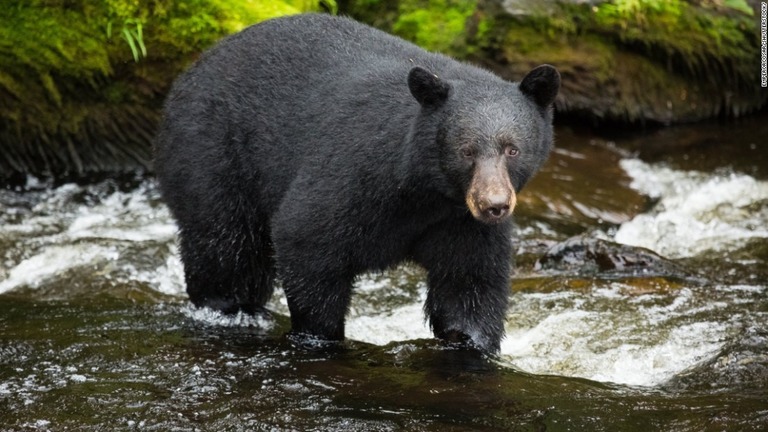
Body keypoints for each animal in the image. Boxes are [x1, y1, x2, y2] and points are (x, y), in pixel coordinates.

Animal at [156, 13, 560, 352]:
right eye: (466, 151)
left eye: (512, 149)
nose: (494, 205)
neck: (424, 191)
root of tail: (193, 68)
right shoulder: (353, 175)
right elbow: (306, 236)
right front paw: (321, 335)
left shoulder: (459, 222)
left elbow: (468, 285)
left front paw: (472, 342)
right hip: (213, 154)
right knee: (226, 246)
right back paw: (231, 308)